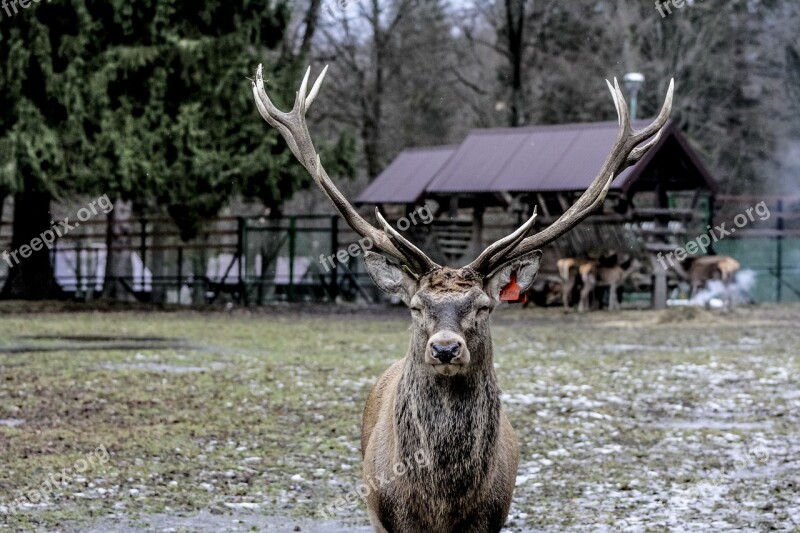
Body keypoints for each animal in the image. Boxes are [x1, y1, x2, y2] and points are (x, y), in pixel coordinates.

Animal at [252, 64, 676, 528]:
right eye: (415, 307)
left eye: (483, 307)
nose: (445, 348)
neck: (441, 503)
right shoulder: (388, 518)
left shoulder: (492, 518)